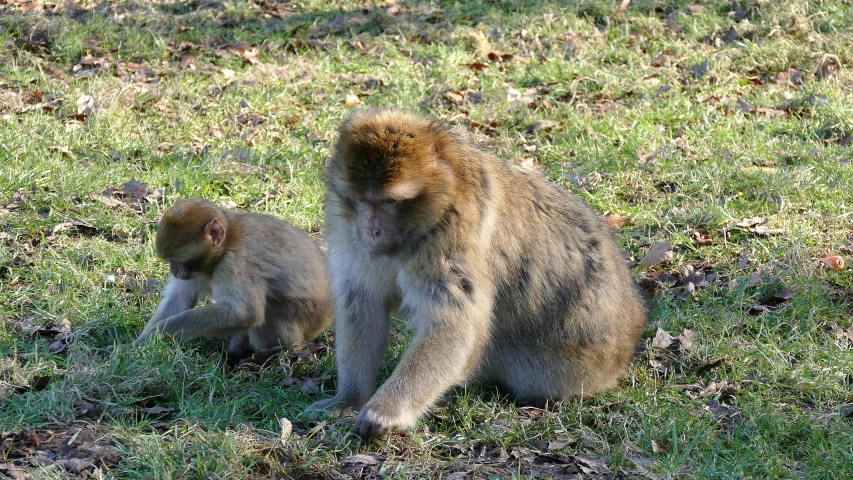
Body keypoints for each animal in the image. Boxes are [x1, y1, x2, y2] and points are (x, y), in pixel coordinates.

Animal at [135, 199, 332, 356]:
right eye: (170, 261)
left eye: (178, 261)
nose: (174, 271)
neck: (225, 246)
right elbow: (178, 299)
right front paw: (141, 344)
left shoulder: (235, 263)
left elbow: (243, 313)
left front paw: (161, 331)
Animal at [306, 109, 644, 438]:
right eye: (362, 201)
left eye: (389, 202)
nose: (372, 230)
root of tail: (629, 340)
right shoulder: (349, 230)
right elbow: (363, 305)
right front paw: (348, 399)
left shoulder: (452, 235)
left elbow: (455, 324)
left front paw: (386, 411)